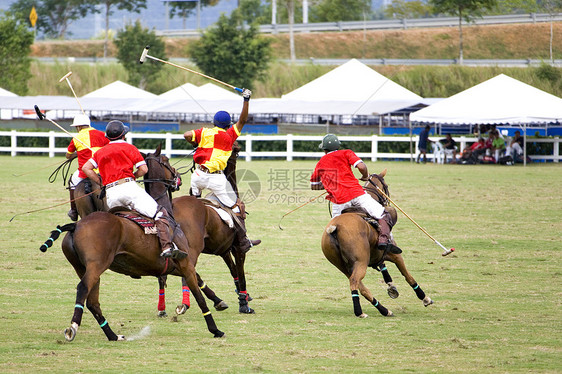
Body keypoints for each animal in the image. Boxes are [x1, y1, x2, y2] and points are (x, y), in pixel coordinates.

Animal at [40, 148, 223, 340]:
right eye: (165, 160)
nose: (177, 177)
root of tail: (76, 225)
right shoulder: (185, 263)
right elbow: (199, 295)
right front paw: (215, 329)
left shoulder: (177, 267)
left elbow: (195, 281)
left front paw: (217, 303)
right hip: (96, 265)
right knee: (83, 289)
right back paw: (73, 328)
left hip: (82, 267)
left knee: (92, 301)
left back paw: (112, 335)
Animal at [318, 169, 430, 318]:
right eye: (386, 186)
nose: (387, 201)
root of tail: (335, 227)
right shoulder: (394, 255)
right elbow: (408, 276)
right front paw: (425, 298)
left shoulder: (378, 254)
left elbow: (384, 268)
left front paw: (391, 287)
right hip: (361, 261)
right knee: (354, 282)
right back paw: (360, 312)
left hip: (342, 265)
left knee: (360, 286)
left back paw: (384, 310)